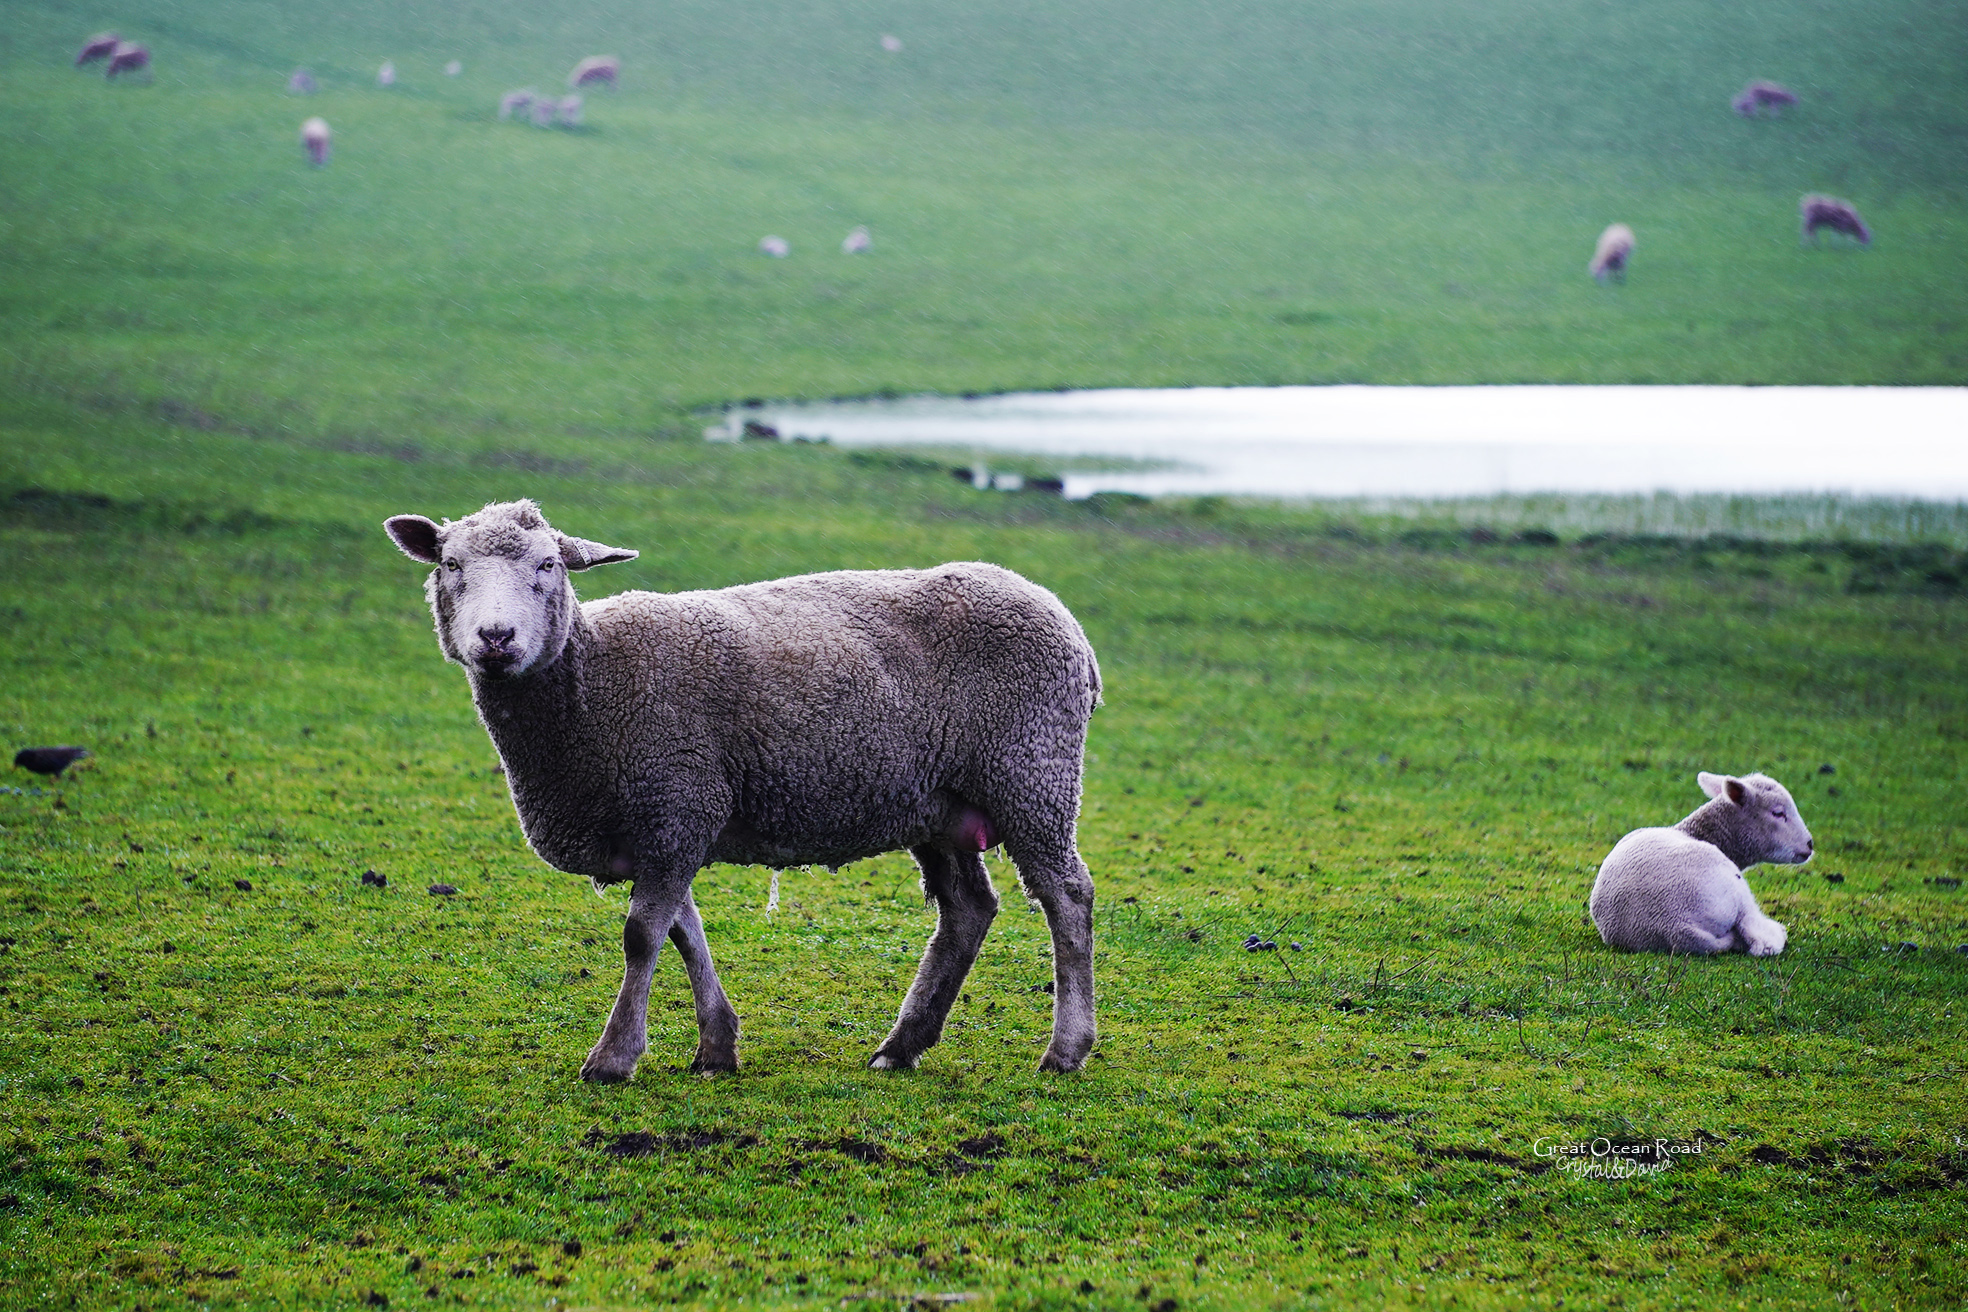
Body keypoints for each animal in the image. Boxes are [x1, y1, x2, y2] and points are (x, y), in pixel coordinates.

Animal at [375, 497, 1102, 1085]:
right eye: (449, 564)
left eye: (548, 565)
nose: (495, 638)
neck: (592, 681)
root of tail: (1064, 620)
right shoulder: (667, 822)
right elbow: (683, 931)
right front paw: (716, 1048)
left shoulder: (674, 804)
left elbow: (642, 935)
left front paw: (614, 1057)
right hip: (939, 805)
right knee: (967, 910)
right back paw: (902, 1046)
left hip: (1032, 772)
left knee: (1067, 896)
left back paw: (1065, 1050)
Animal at [1582, 775, 1810, 959]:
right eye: (1778, 813)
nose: (1810, 844)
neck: (1695, 832)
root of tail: (1676, 925)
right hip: (1732, 887)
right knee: (1756, 936)